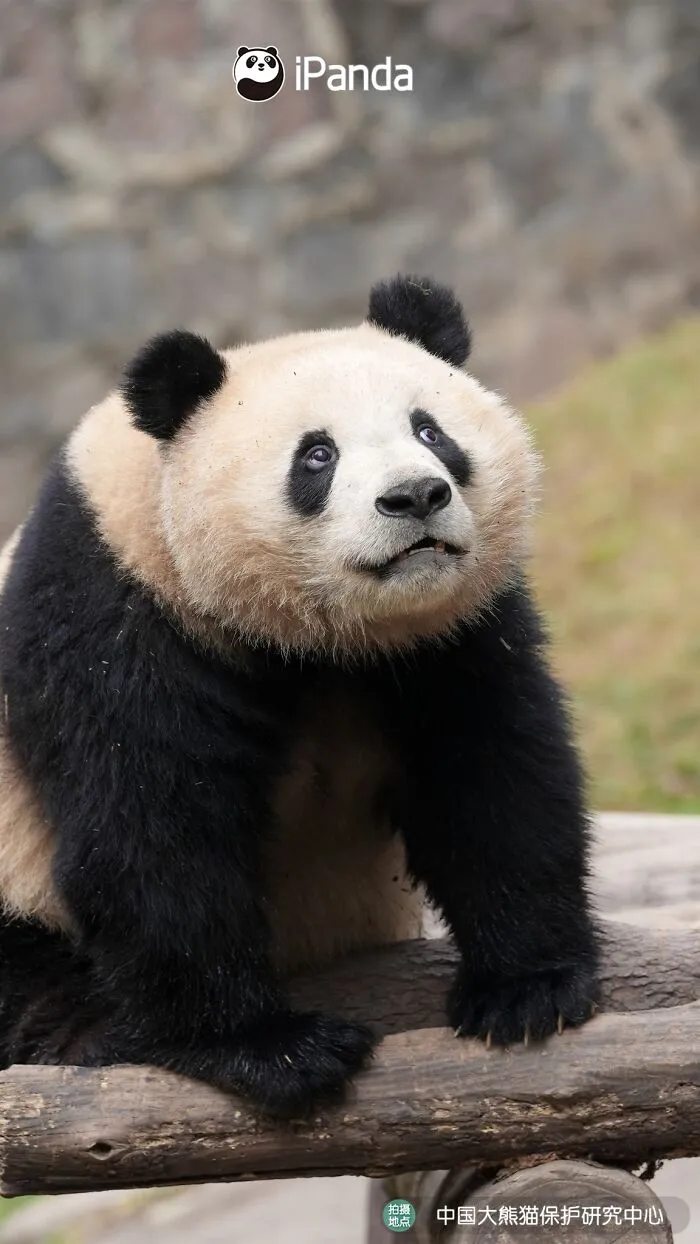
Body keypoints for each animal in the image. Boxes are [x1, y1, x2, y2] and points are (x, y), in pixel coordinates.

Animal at [0, 275, 600, 1117]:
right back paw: (84, 1036)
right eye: (317, 456)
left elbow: (493, 771)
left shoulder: (446, 635)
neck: (316, 639)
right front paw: (265, 1047)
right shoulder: (113, 607)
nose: (415, 497)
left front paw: (528, 989)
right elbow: (150, 820)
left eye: (430, 430)